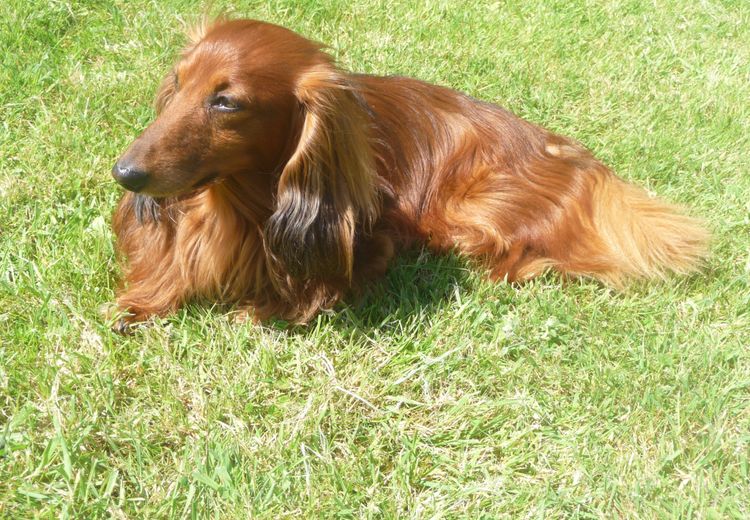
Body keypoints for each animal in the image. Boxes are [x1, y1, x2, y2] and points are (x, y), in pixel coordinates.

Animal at [108, 18, 708, 332]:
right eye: (178, 82)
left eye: (227, 102)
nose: (125, 173)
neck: (237, 203)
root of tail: (583, 162)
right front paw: (145, 299)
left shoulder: (373, 244)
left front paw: (261, 309)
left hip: (473, 213)